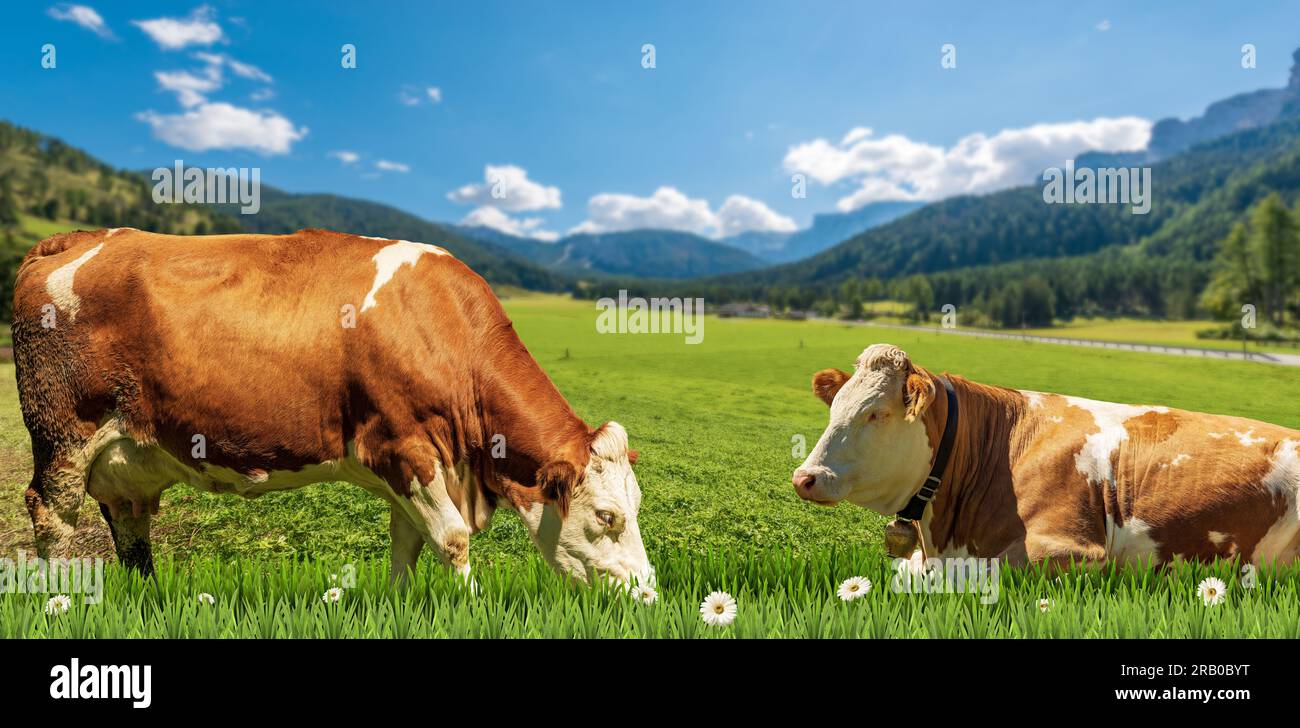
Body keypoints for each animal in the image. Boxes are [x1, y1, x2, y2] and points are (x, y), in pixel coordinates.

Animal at [12, 228, 653, 588]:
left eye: (635, 506)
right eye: (606, 517)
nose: (646, 594)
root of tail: (73, 238)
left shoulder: (406, 468)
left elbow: (406, 547)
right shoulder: (406, 445)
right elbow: (452, 540)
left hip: (128, 457)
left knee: (131, 526)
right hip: (62, 435)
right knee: (51, 515)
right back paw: (59, 602)